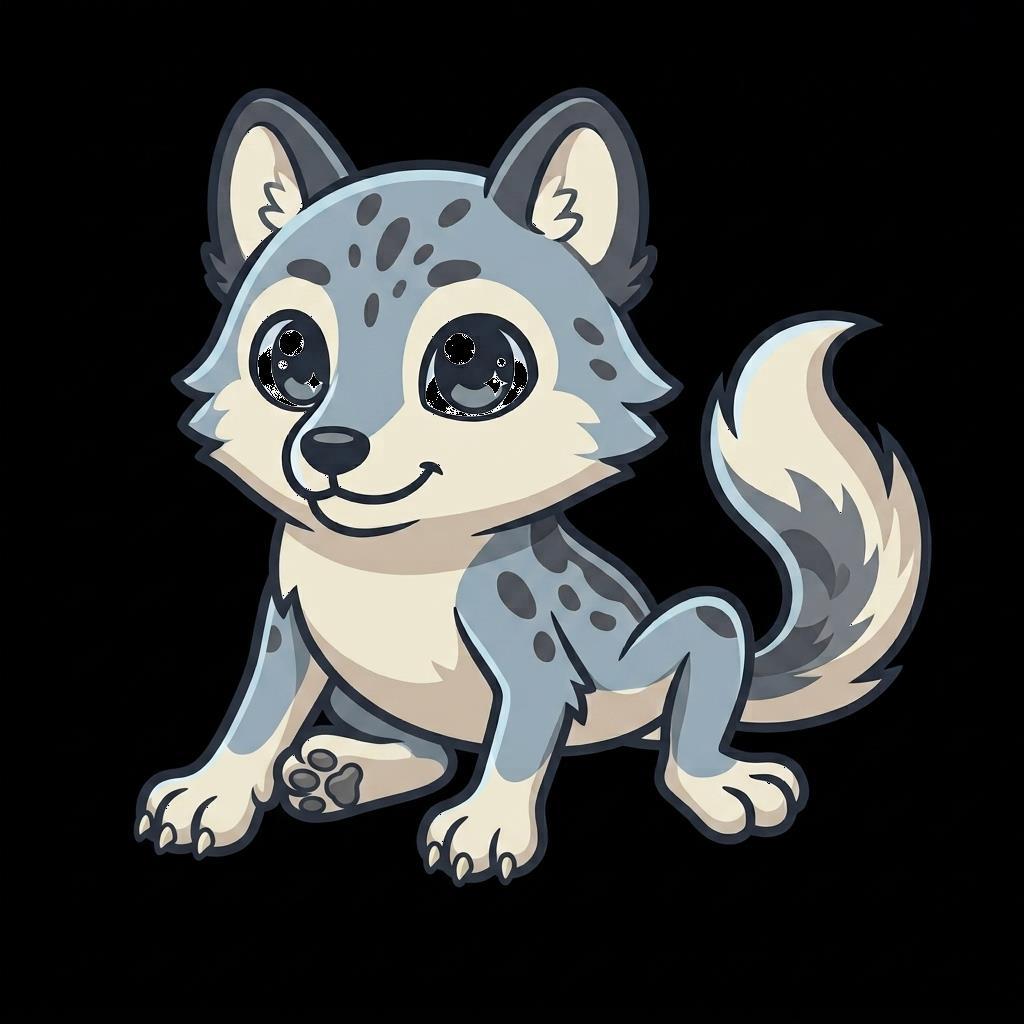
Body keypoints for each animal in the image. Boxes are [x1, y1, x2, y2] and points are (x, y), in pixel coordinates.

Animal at [136, 89, 929, 884]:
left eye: (470, 360)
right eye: (288, 353)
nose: (330, 447)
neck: (392, 566)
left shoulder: (533, 653)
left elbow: (519, 738)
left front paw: (487, 824)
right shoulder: (288, 625)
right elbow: (256, 716)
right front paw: (212, 792)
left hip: (667, 653)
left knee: (690, 698)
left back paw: (715, 782)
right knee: (428, 752)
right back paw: (344, 774)